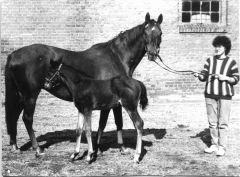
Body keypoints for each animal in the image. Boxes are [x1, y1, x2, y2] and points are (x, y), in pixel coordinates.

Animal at [4, 12, 163, 156]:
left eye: (160, 33)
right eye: (146, 32)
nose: (153, 54)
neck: (116, 56)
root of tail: (13, 55)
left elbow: (112, 123)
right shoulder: (112, 102)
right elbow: (109, 123)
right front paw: (106, 148)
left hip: (20, 95)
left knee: (14, 116)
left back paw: (15, 146)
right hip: (30, 95)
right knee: (27, 118)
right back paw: (37, 149)